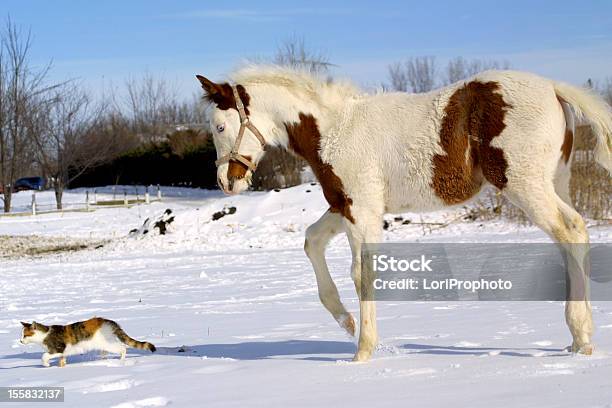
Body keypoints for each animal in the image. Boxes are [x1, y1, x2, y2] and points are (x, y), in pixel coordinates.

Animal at [20, 318, 157, 368]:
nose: (20, 340)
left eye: (25, 335)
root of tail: (107, 320)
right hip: (105, 342)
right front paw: (62, 367)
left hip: (106, 342)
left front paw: (46, 365)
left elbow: (44, 356)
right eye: (21, 335)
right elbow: (62, 360)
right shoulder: (62, 353)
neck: (44, 334)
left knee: (123, 348)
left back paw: (121, 361)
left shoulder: (57, 348)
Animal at [197, 66, 612, 360]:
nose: (226, 181)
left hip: (525, 185)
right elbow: (312, 242)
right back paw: (578, 340)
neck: (335, 128)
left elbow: (362, 273)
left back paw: (581, 335)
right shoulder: (346, 205)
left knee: (570, 231)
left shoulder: (362, 208)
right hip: (555, 182)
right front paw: (346, 322)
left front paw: (363, 352)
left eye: (220, 126)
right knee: (573, 236)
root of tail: (554, 86)